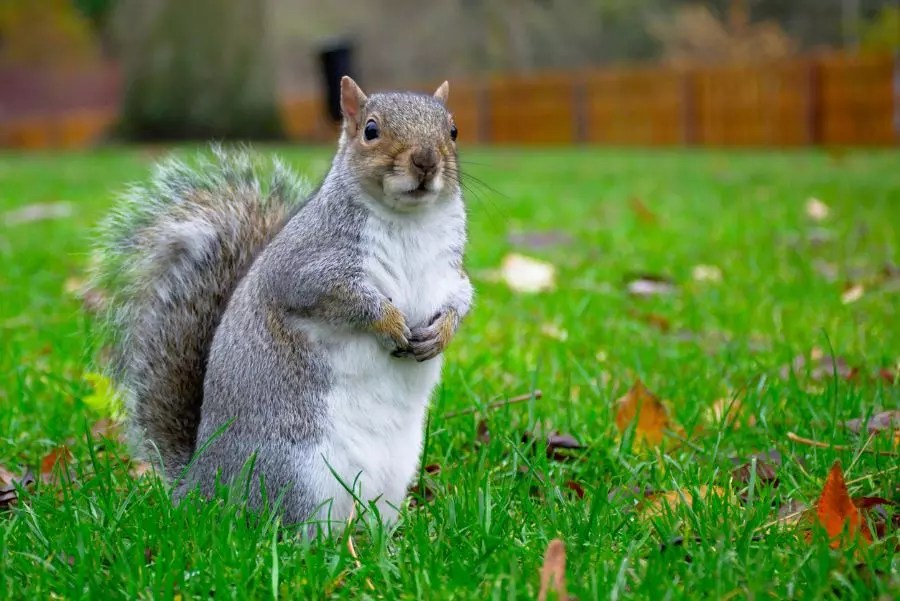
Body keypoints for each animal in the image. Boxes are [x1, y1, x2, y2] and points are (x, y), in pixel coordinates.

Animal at [92, 76, 473, 531]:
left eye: (453, 131)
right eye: (371, 130)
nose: (426, 160)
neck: (410, 221)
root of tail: (202, 485)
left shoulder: (449, 273)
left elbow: (462, 298)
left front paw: (442, 332)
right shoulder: (306, 268)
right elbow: (340, 298)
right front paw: (389, 322)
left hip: (392, 476)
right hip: (298, 471)